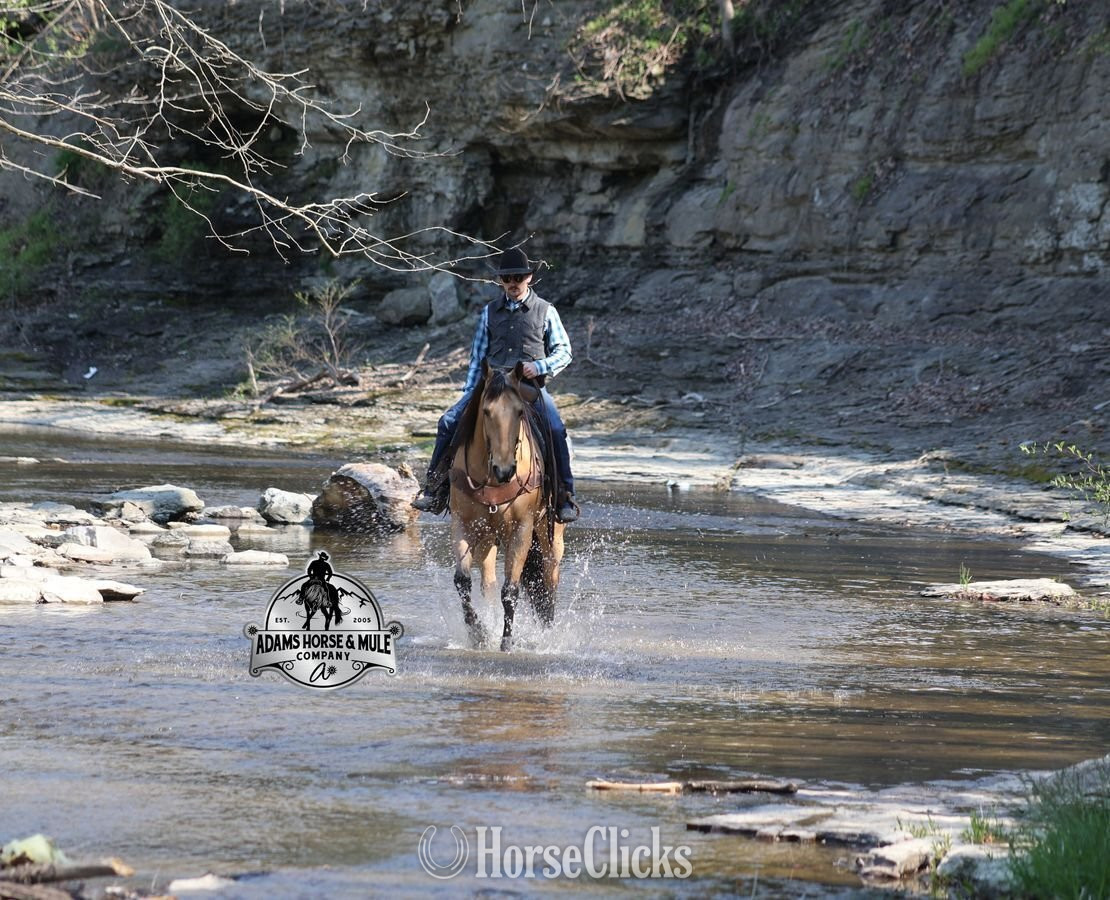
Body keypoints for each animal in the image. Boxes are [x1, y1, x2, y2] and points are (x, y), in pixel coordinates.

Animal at [448, 360, 565, 651]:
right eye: (486, 411)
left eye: (519, 411)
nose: (504, 470)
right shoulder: (462, 523)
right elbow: (462, 581)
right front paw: (479, 633)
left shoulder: (521, 529)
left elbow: (510, 590)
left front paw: (507, 642)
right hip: (488, 538)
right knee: (488, 582)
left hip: (551, 536)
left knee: (550, 581)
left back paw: (547, 632)